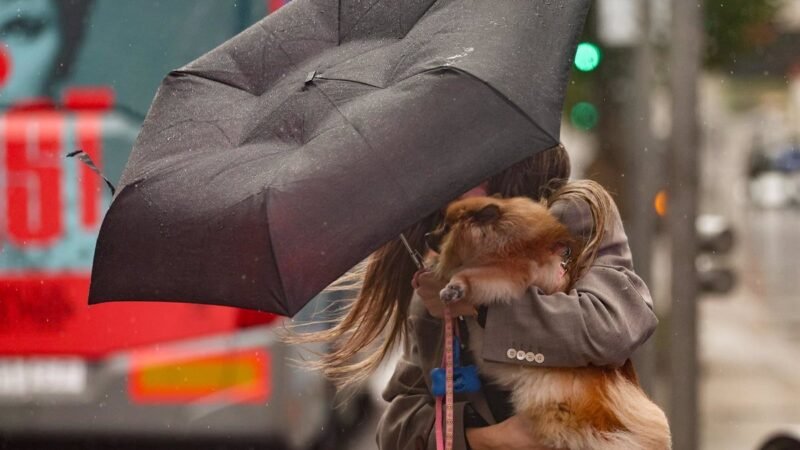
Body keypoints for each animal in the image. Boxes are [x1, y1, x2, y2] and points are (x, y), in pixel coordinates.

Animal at [424, 196, 668, 450]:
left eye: (446, 227)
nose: (426, 235)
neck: (502, 238)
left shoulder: (510, 271)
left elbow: (473, 275)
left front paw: (455, 285)